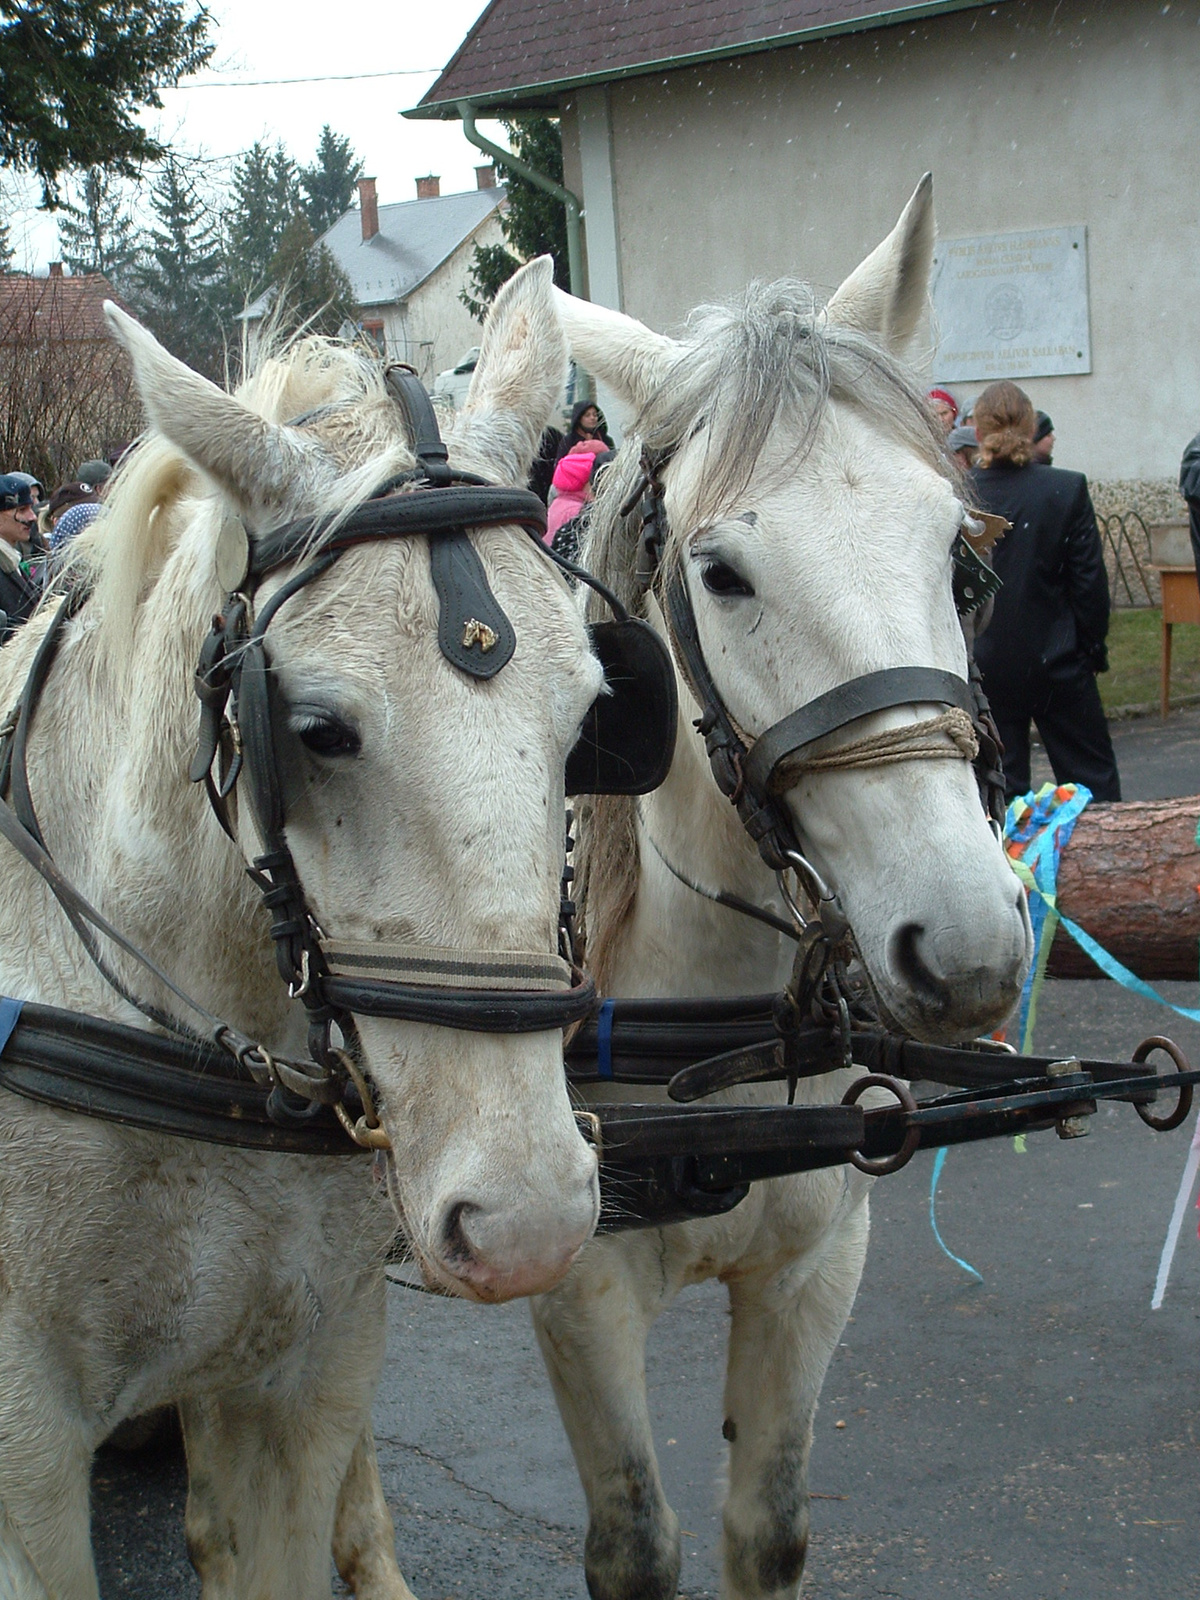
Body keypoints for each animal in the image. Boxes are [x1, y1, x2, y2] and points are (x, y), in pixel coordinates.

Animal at [534, 181, 1036, 1600]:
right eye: (722, 574)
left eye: (960, 557)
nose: (966, 948)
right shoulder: (577, 1297)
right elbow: (635, 1544)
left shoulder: (815, 1271)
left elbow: (769, 1526)